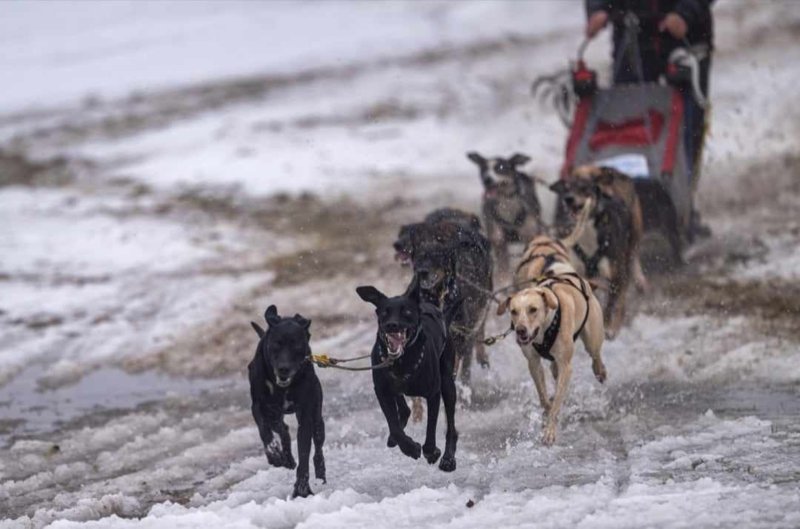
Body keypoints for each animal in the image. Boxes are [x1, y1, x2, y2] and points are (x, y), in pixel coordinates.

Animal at [248, 304, 326, 498]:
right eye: (276, 344)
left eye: (297, 345)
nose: (284, 369)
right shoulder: (258, 405)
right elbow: (264, 430)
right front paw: (274, 453)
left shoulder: (306, 415)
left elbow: (304, 451)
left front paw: (302, 488)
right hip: (274, 413)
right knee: (282, 428)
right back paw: (286, 458)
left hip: (317, 417)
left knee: (318, 447)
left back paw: (320, 473)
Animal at [354, 278, 460, 472]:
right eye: (384, 312)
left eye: (407, 312)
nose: (391, 325)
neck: (401, 361)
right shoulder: (382, 391)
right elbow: (394, 425)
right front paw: (409, 447)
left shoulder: (433, 393)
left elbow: (431, 426)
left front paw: (431, 451)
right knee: (404, 410)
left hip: (448, 382)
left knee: (451, 426)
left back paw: (448, 459)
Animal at [496, 274, 604, 444]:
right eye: (513, 311)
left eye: (533, 309)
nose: (520, 330)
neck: (544, 329)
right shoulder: (533, 363)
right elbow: (543, 397)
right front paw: (546, 410)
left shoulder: (566, 366)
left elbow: (557, 403)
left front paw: (550, 431)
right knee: (554, 370)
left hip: (592, 337)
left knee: (595, 353)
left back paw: (600, 370)